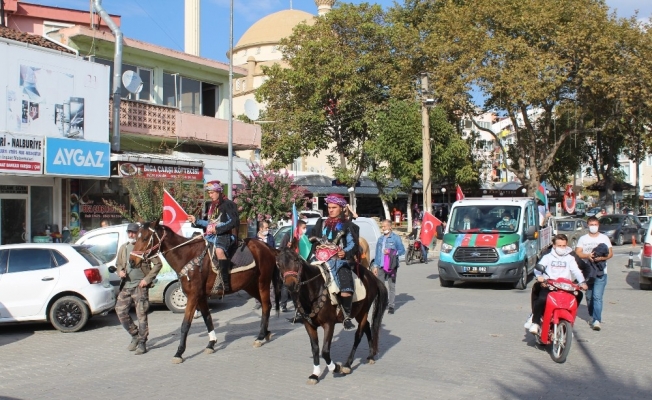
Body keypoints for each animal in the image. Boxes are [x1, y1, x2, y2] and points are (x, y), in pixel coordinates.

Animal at [130, 220, 280, 364]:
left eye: (145, 238)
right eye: (136, 238)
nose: (132, 261)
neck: (187, 256)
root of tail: (267, 247)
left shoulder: (193, 296)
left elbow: (185, 325)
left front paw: (179, 353)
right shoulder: (201, 297)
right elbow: (208, 319)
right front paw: (211, 344)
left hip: (263, 283)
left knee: (266, 306)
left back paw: (260, 337)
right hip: (250, 286)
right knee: (266, 305)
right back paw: (265, 332)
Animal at [274, 247, 388, 384]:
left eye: (296, 260)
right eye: (278, 264)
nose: (291, 284)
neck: (314, 291)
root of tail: (371, 276)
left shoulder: (329, 324)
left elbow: (325, 351)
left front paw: (336, 368)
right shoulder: (309, 325)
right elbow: (315, 348)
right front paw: (315, 374)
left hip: (363, 311)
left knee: (358, 335)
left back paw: (347, 364)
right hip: (359, 312)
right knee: (367, 326)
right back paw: (371, 355)